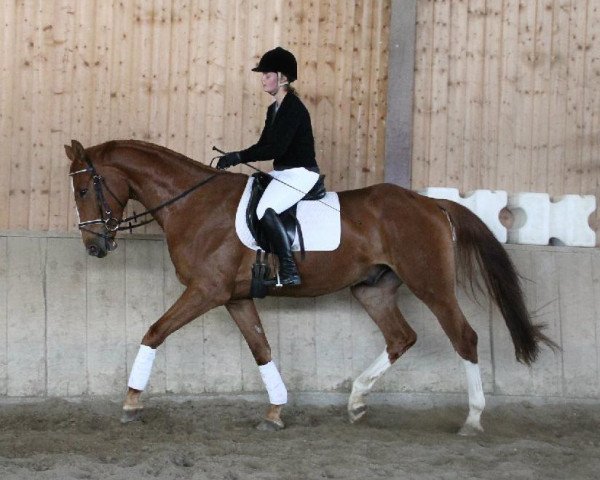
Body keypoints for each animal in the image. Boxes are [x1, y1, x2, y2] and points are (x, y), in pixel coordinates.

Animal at [67, 139, 556, 436]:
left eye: (84, 189)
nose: (94, 246)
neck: (194, 204)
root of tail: (432, 202)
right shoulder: (235, 298)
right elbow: (261, 350)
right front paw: (275, 411)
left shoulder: (207, 291)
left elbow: (154, 332)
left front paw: (131, 402)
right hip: (372, 289)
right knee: (401, 337)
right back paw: (356, 402)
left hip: (431, 285)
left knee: (464, 338)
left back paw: (471, 419)